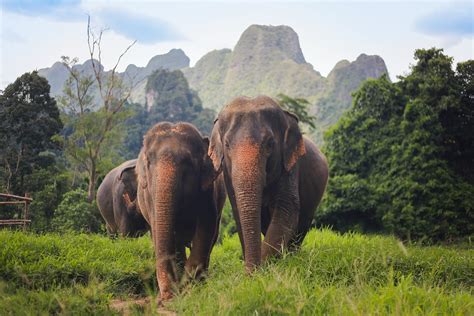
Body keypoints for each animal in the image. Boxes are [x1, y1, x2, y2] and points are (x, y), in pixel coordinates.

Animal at [137, 121, 226, 302]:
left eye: (188, 163)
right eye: (149, 162)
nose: (165, 297)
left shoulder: (207, 192)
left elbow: (206, 228)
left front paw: (190, 286)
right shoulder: (149, 197)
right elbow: (158, 230)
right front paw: (178, 289)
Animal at [209, 95, 328, 272]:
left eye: (270, 143)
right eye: (227, 144)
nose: (250, 273)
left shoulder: (290, 165)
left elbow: (287, 210)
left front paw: (264, 268)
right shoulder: (227, 175)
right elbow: (238, 213)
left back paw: (291, 257)